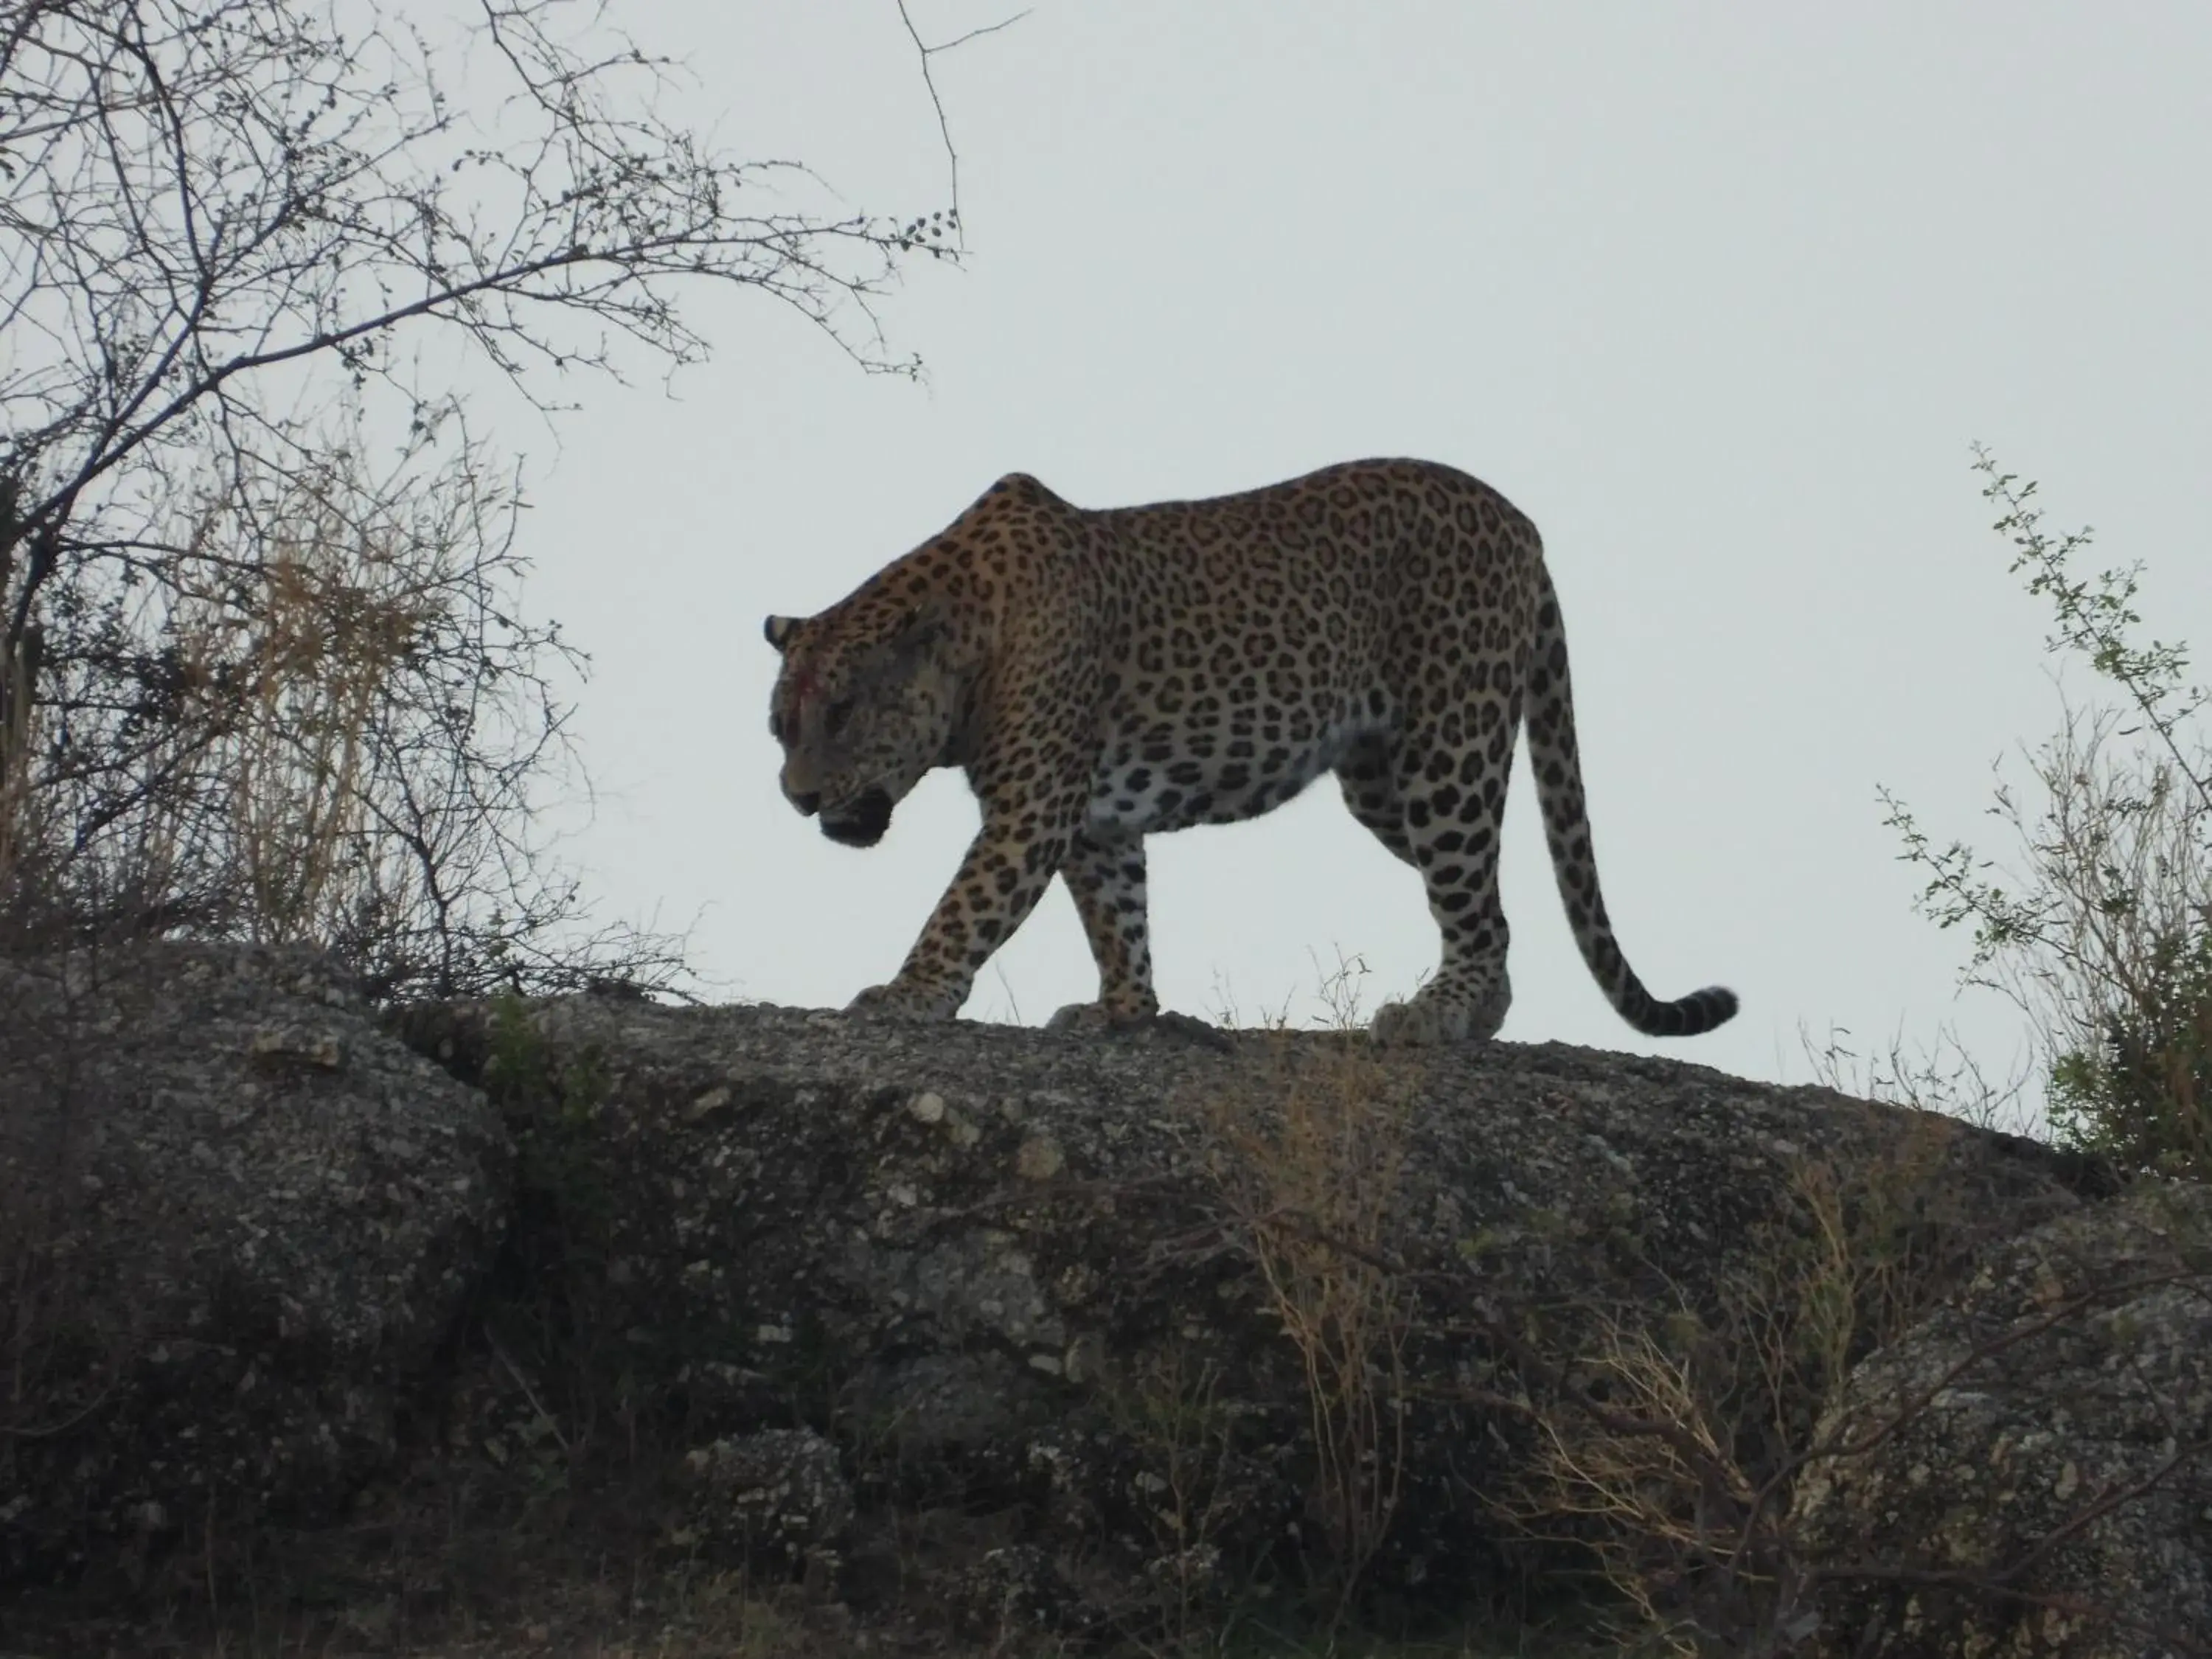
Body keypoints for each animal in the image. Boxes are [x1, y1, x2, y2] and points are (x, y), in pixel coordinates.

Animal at [763, 457, 1736, 1046]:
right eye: (782, 725)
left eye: (843, 713)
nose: (798, 797)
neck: (969, 631)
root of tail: (1521, 523)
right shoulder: (1093, 820)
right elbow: (1118, 915)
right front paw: (1125, 1012)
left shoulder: (1033, 807)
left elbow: (964, 908)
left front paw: (906, 995)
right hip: (1384, 783)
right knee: (1485, 901)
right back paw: (1475, 1008)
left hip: (1450, 751)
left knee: (1476, 904)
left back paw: (1443, 1014)